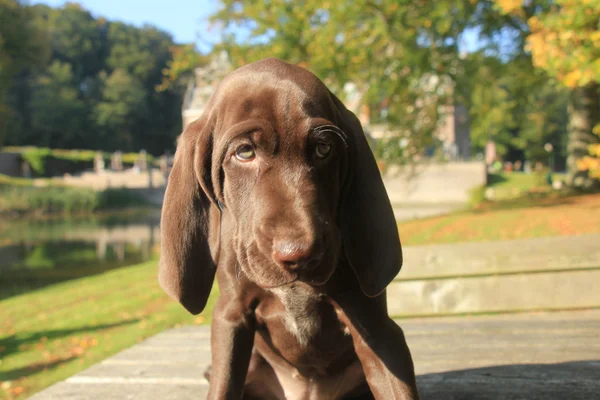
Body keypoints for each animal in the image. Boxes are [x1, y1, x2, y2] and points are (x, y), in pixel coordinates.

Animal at [159, 57, 422, 398]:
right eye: (244, 152)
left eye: (323, 149)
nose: (299, 256)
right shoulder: (231, 315)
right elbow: (223, 385)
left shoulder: (376, 327)